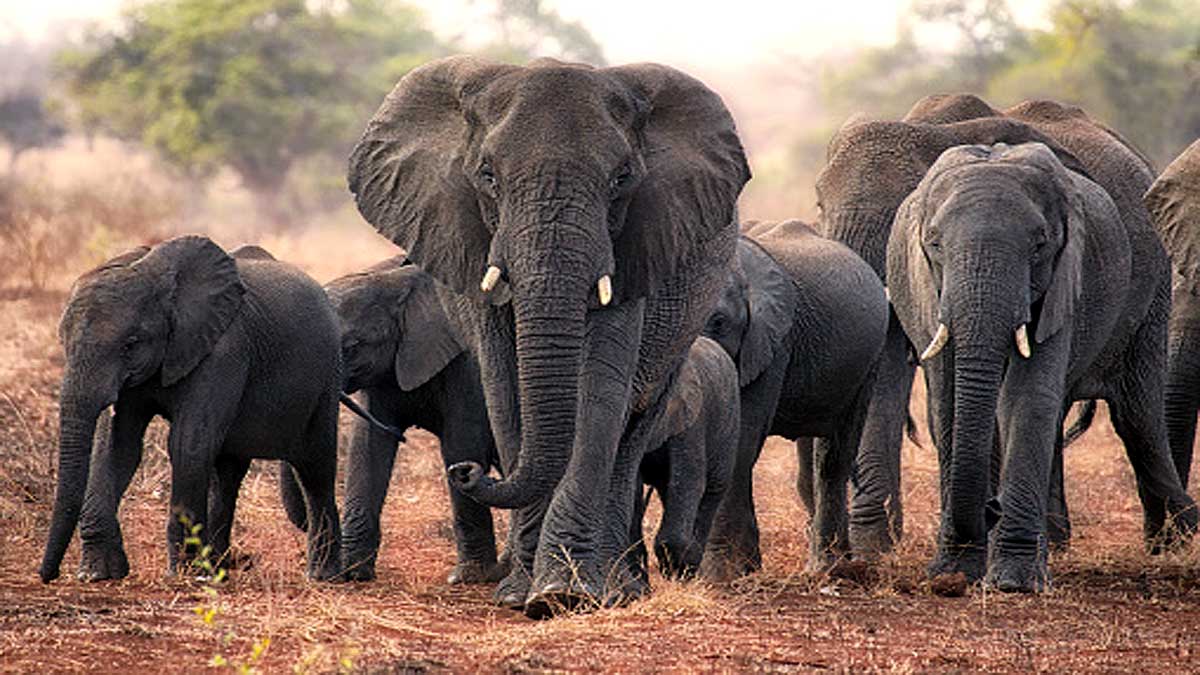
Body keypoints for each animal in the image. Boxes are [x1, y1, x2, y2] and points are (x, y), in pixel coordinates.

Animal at [40, 236, 343, 583]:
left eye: (131, 344)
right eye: (63, 342)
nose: (48, 575)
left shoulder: (224, 351)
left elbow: (188, 445)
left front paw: (182, 574)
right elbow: (118, 446)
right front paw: (97, 574)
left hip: (327, 379)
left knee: (315, 470)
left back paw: (323, 575)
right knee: (227, 474)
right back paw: (220, 569)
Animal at [322, 256, 507, 584]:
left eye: (353, 346)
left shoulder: (469, 364)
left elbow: (462, 443)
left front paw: (469, 578)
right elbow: (368, 444)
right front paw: (353, 572)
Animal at [700, 221, 889, 578]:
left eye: (718, 323)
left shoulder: (773, 344)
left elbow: (741, 441)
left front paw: (720, 576)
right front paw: (745, 569)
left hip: (868, 365)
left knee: (833, 459)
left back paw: (827, 568)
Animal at [816, 93, 1157, 552]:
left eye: (895, 214)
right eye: (819, 206)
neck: (931, 130)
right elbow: (886, 379)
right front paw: (876, 547)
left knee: (1132, 411)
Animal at [887, 142, 1196, 592]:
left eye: (1039, 246)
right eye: (934, 245)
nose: (991, 508)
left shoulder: (1066, 281)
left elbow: (1025, 398)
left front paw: (1014, 582)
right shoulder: (925, 290)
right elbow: (948, 402)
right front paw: (953, 574)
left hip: (1154, 292)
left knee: (1137, 419)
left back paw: (1175, 543)